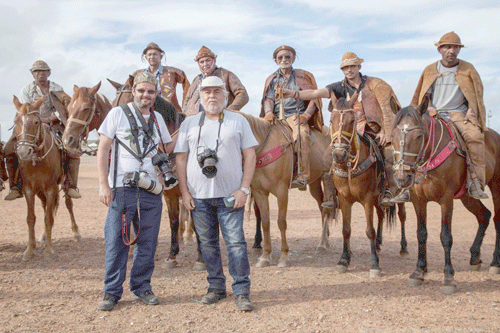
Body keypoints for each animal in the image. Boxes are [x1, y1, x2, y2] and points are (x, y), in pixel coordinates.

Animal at [12, 95, 80, 260]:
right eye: (16, 121)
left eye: (36, 122)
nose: (23, 151)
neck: (37, 161)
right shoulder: (29, 189)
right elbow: (31, 218)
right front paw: (30, 250)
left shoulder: (51, 189)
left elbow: (49, 217)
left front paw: (49, 250)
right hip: (40, 191)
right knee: (44, 207)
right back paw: (42, 235)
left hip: (64, 184)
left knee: (68, 204)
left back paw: (76, 232)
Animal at [235, 111, 334, 268]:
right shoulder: (259, 192)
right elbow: (265, 222)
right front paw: (265, 256)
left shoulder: (282, 191)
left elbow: (281, 222)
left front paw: (284, 257)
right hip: (315, 183)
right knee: (322, 208)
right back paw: (325, 240)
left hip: (327, 177)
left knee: (327, 208)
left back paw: (322, 244)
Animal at [330, 98, 404, 278]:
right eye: (331, 120)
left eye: (352, 120)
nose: (339, 155)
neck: (350, 167)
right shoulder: (344, 199)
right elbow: (346, 230)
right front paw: (344, 259)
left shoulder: (367, 199)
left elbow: (369, 230)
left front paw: (375, 264)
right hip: (378, 199)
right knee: (381, 215)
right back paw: (378, 243)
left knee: (402, 216)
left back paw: (403, 247)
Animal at [390, 94, 500, 292]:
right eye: (392, 135)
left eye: (418, 136)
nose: (402, 178)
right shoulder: (418, 201)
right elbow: (421, 233)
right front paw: (419, 271)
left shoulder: (446, 200)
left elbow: (446, 236)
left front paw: (449, 276)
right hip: (467, 196)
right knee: (484, 215)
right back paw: (475, 256)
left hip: (496, 187)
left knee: (496, 219)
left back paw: (495, 262)